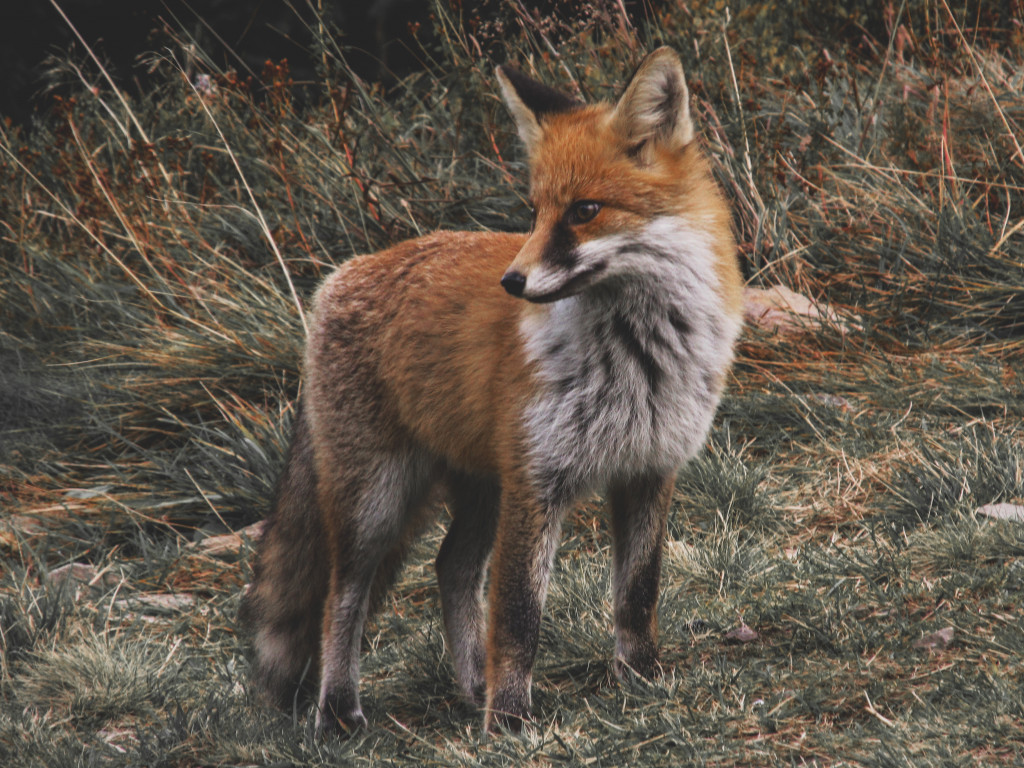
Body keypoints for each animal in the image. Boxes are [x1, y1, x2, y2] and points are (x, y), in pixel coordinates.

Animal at [240, 46, 743, 735]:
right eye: (533, 212)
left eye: (584, 210)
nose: (513, 281)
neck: (637, 356)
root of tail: (343, 274)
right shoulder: (538, 481)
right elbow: (518, 614)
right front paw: (507, 719)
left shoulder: (649, 468)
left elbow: (638, 593)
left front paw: (640, 678)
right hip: (377, 500)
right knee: (342, 597)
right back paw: (341, 709)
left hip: (481, 489)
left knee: (450, 568)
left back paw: (470, 685)